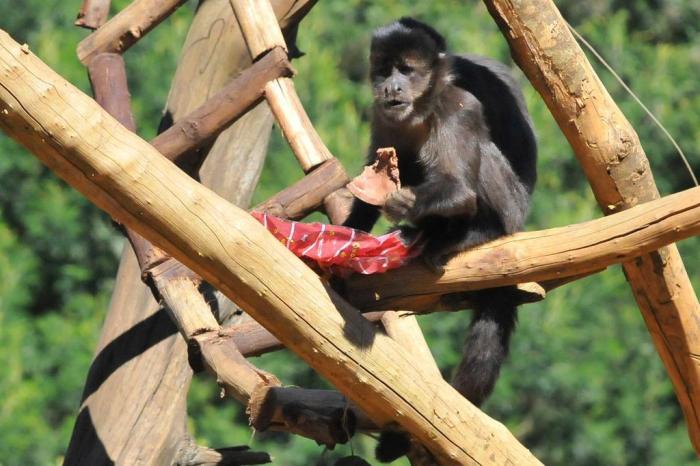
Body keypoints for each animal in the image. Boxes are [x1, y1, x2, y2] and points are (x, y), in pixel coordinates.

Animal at [342, 16, 540, 460]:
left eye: (406, 70)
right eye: (384, 70)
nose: (392, 88)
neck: (419, 111)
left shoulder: (457, 108)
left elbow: (459, 189)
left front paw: (402, 204)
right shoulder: (383, 116)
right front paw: (348, 235)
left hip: (512, 207)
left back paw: (466, 233)